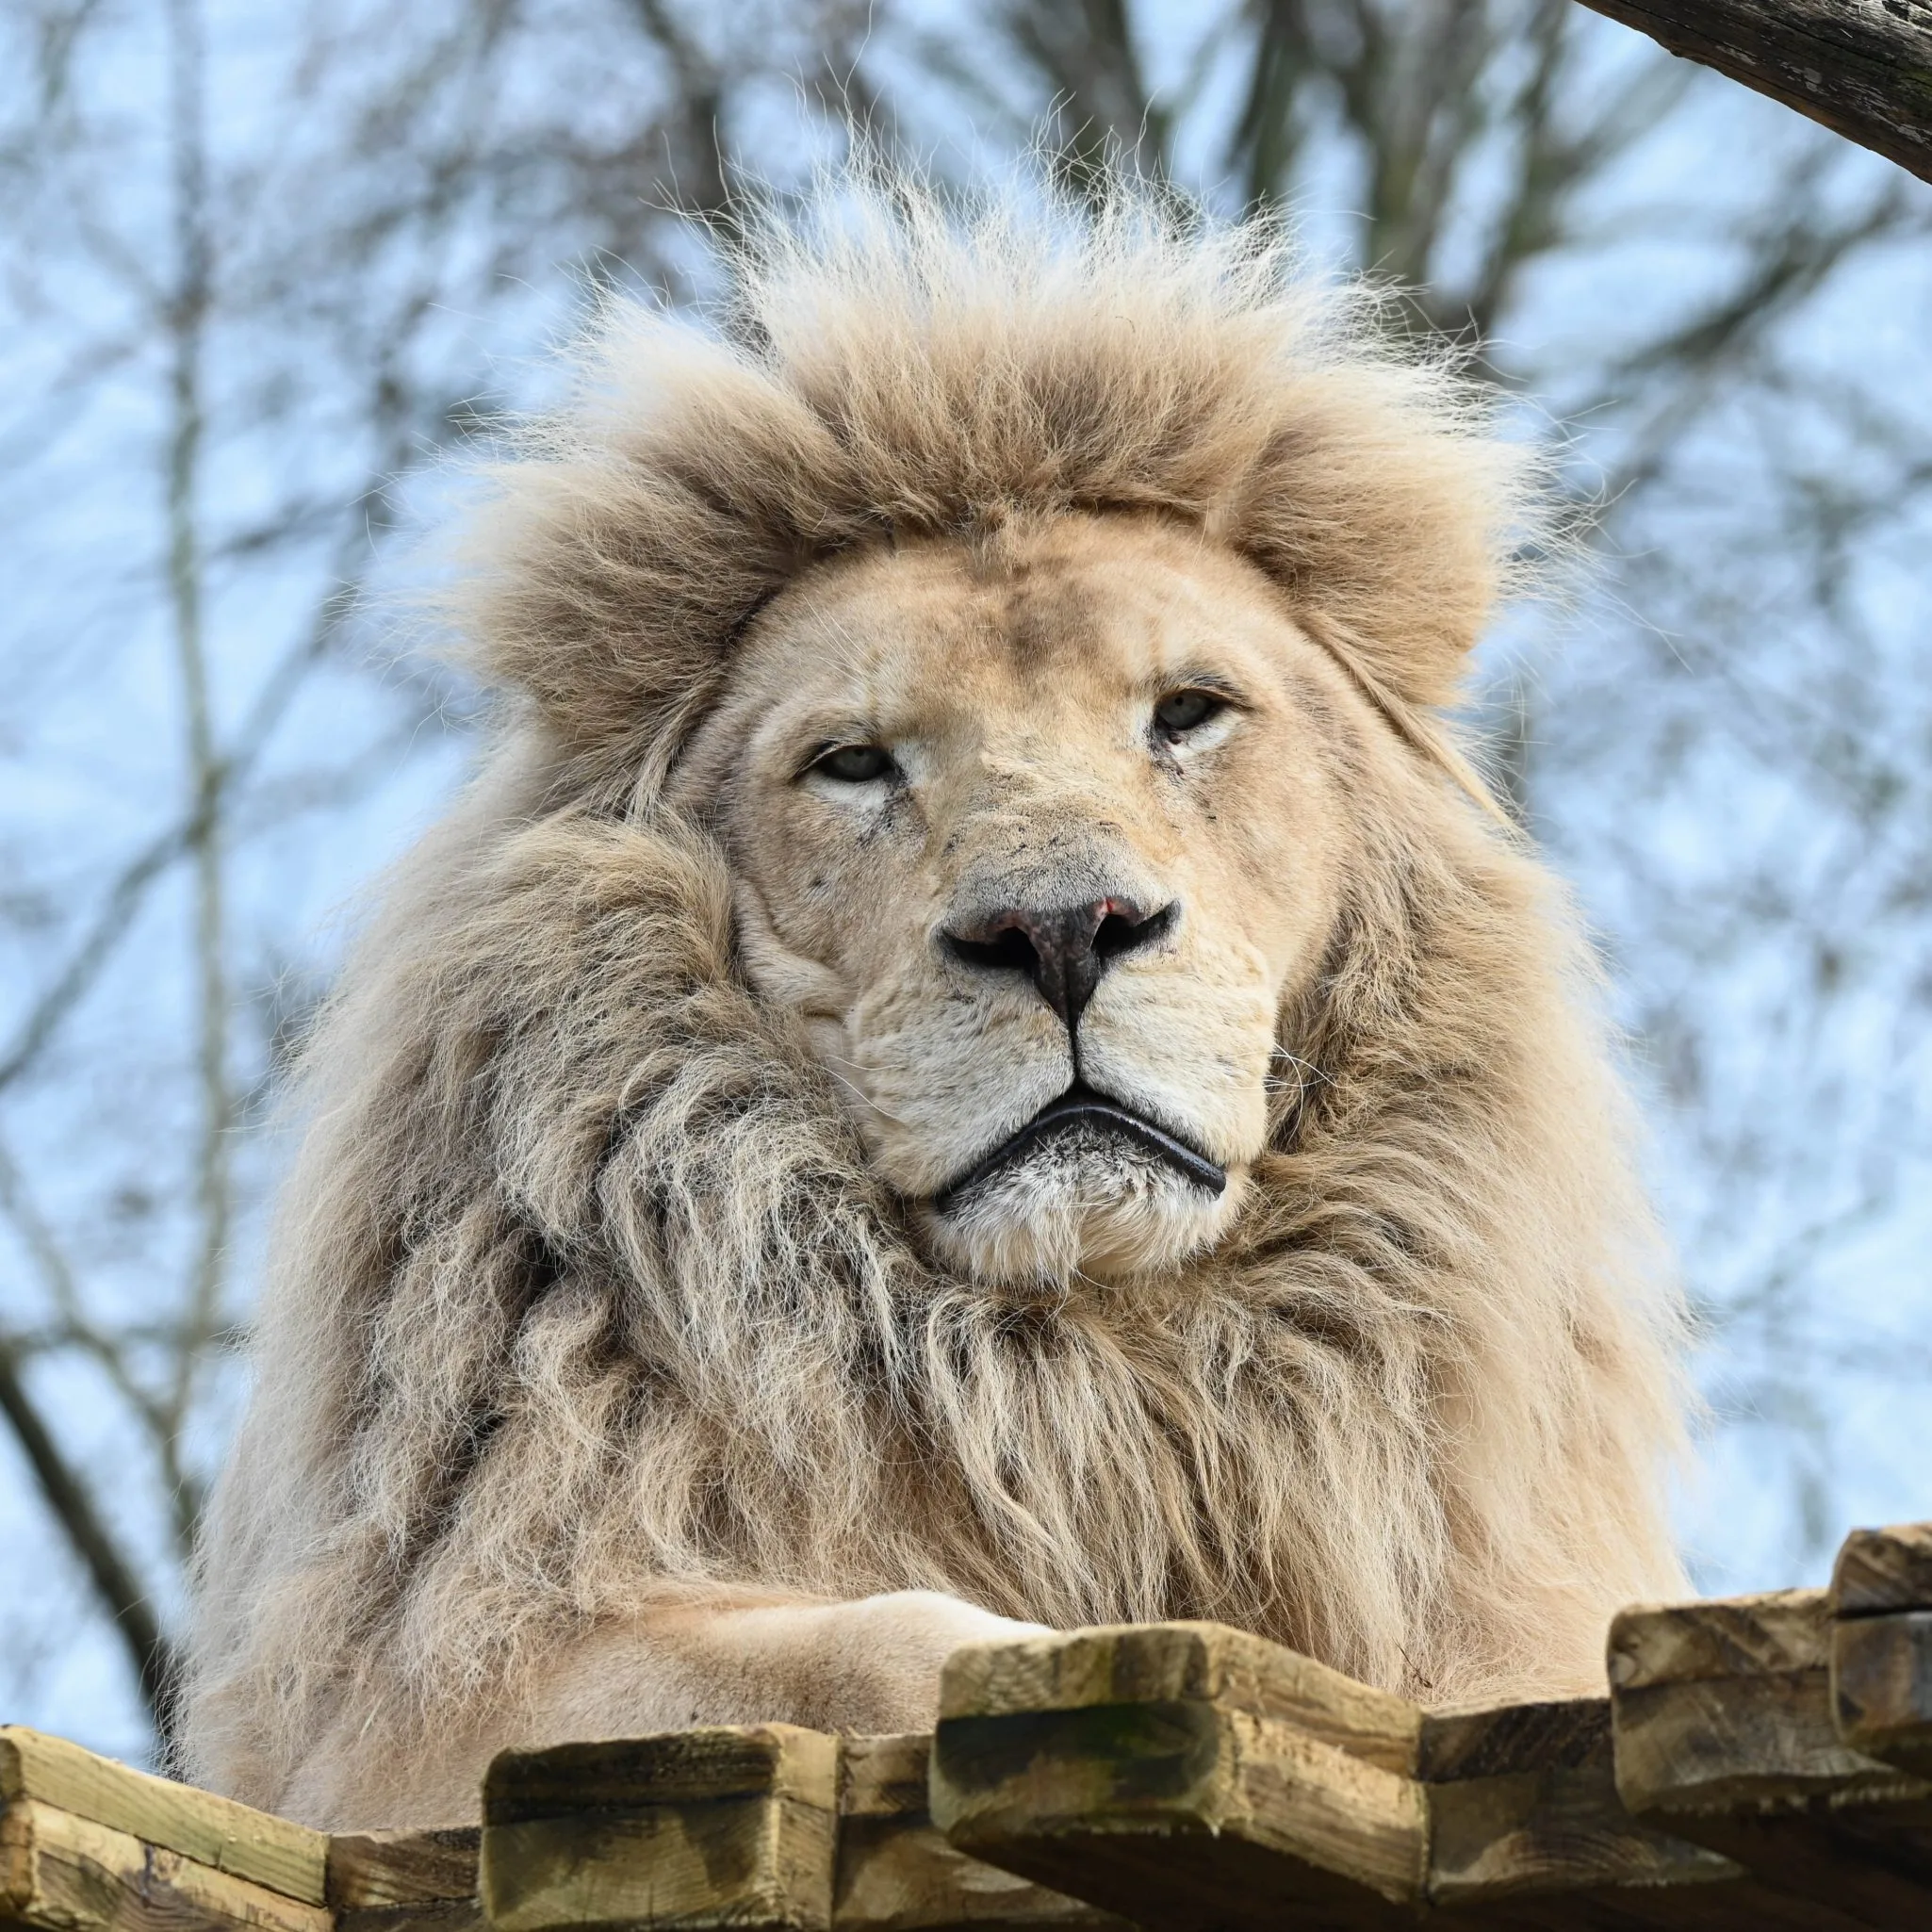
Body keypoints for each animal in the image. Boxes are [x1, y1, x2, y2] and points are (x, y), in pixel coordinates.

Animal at [182, 180, 1689, 1830]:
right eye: (852, 762)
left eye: (1187, 712)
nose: (1064, 930)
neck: (1082, 1370)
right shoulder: (397, 1709)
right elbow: (888, 1648)